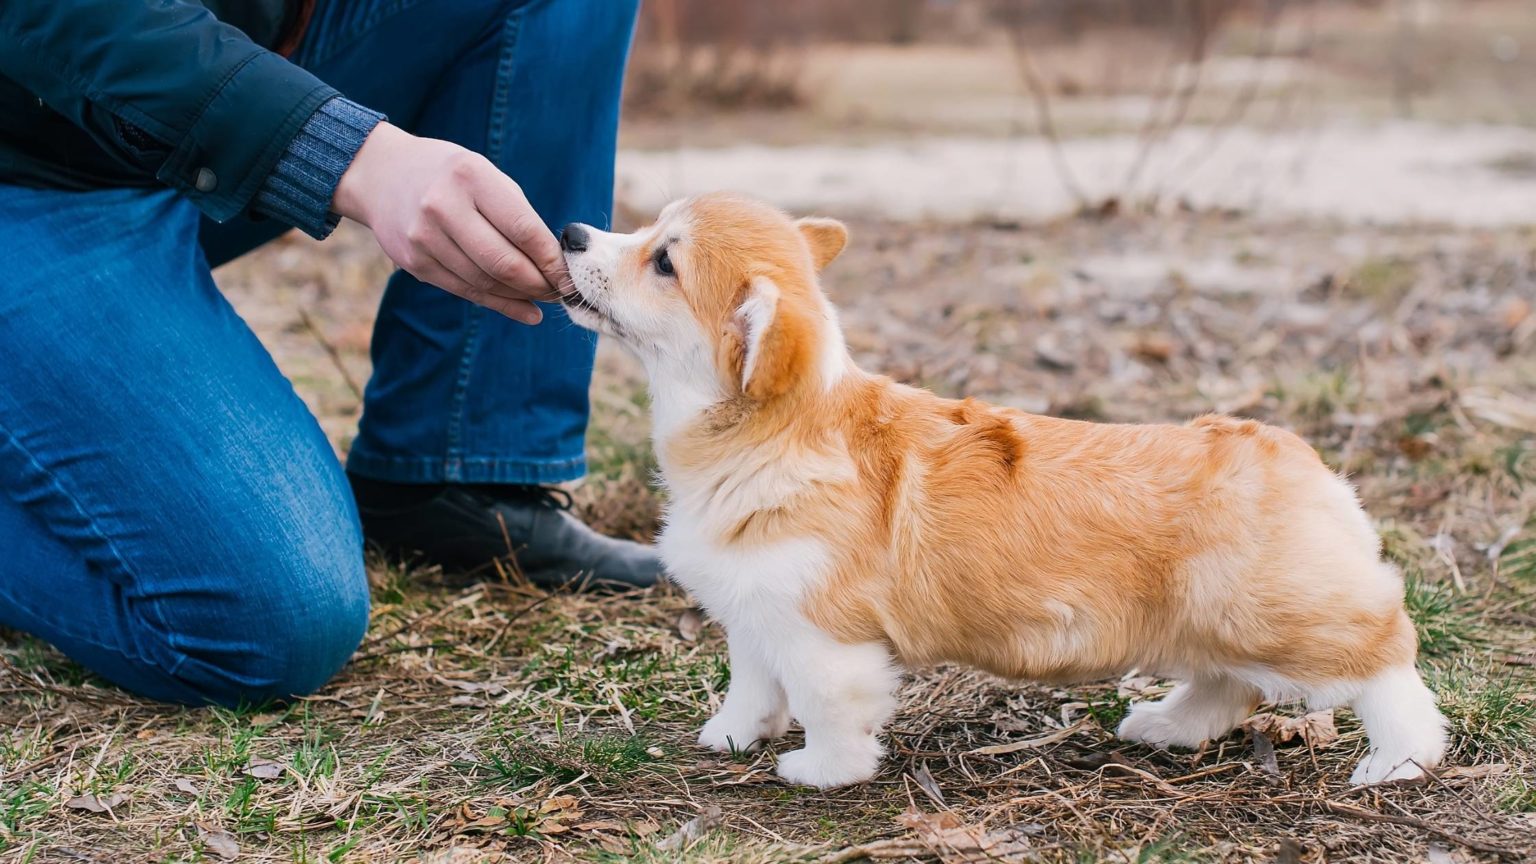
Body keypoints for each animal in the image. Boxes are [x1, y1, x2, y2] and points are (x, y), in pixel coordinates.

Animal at [559, 193, 1443, 787]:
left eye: (664, 261)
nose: (569, 232)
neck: (766, 429)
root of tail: (1298, 454)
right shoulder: (755, 611)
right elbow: (752, 685)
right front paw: (733, 737)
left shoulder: (822, 635)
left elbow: (828, 707)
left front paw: (821, 771)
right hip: (1215, 620)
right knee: (1226, 684)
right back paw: (1165, 724)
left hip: (1279, 615)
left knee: (1385, 660)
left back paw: (1401, 758)